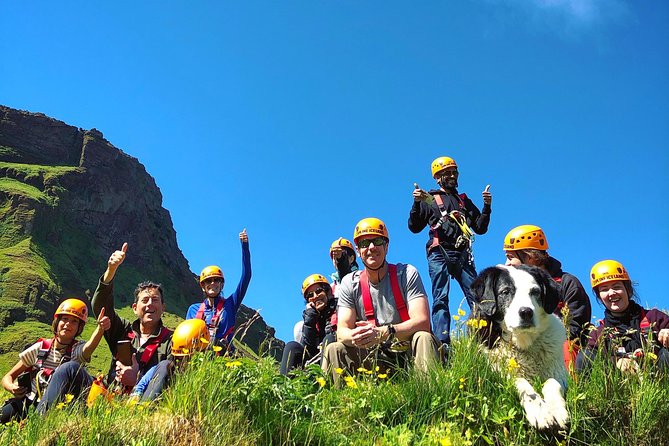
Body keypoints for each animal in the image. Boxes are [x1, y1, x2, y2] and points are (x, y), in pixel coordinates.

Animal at [470, 264, 568, 432]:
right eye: (505, 292)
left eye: (535, 292)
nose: (526, 312)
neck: (523, 343)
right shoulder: (496, 372)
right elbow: (522, 383)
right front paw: (540, 412)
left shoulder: (559, 372)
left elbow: (552, 382)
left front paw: (557, 410)